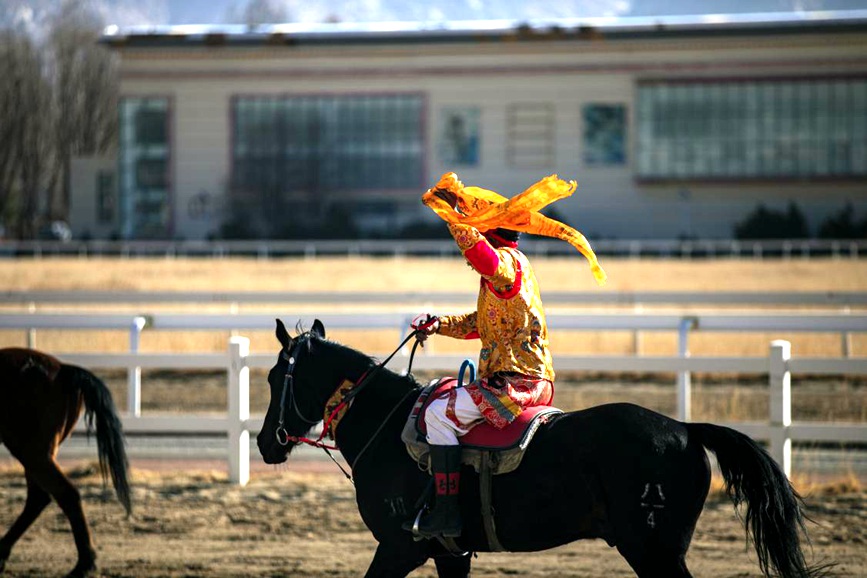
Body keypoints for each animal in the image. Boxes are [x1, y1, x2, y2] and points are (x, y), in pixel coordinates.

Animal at [0, 346, 132, 576]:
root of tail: (63, 369)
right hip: (35, 455)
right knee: (40, 498)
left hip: (33, 453)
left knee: (64, 494)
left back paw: (84, 565)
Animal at [256, 320, 820, 576]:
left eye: (273, 378)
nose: (265, 443)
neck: (390, 426)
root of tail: (684, 426)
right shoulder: (450, 555)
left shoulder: (398, 548)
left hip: (654, 551)